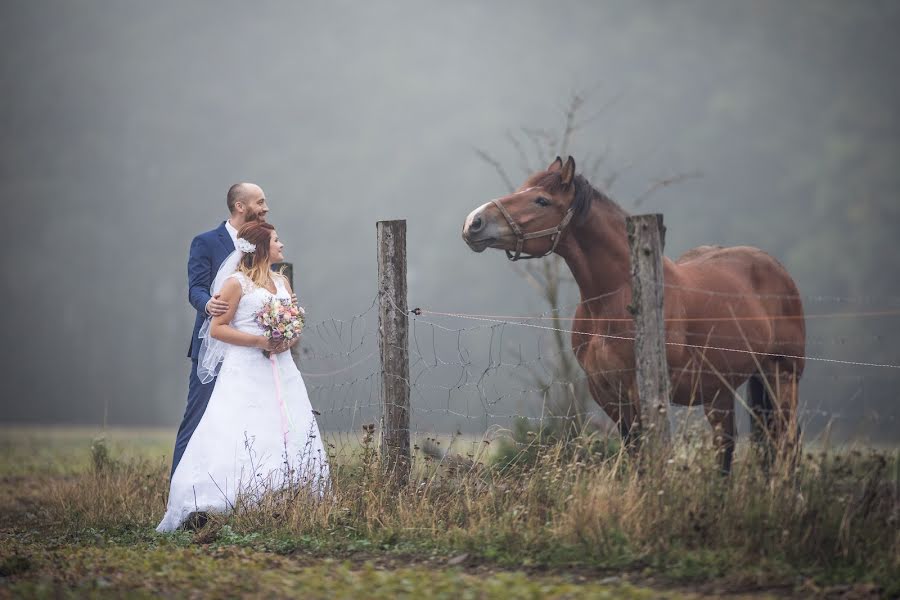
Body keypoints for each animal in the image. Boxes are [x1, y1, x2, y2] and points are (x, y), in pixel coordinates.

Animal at [460, 156, 804, 474]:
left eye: (541, 200)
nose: (473, 222)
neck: (614, 296)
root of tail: (775, 267)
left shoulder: (641, 392)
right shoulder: (608, 395)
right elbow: (635, 455)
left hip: (782, 377)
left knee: (786, 442)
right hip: (720, 390)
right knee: (727, 447)